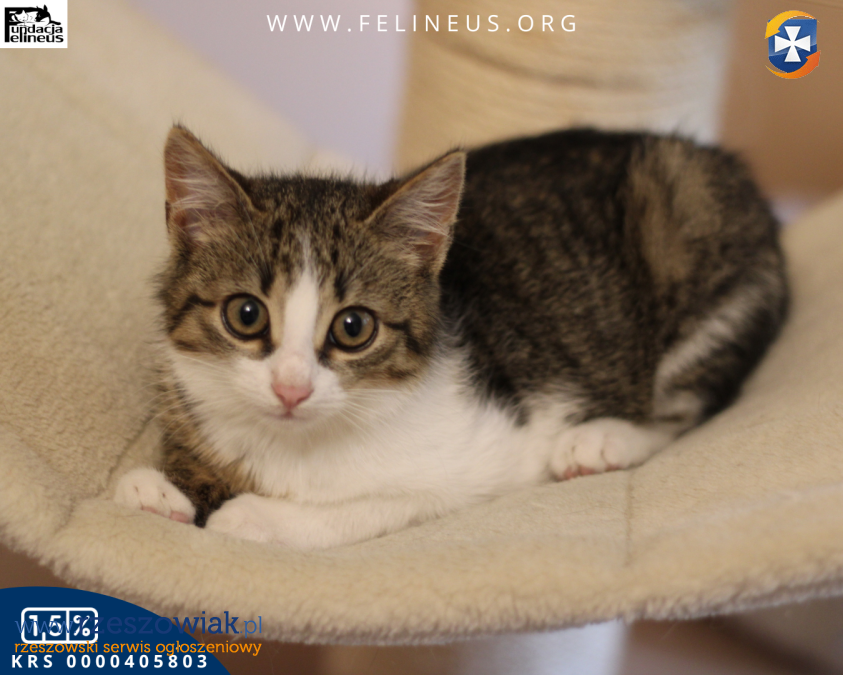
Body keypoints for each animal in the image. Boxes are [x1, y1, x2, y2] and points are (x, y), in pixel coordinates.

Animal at [114, 125, 788, 550]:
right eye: (246, 315)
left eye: (353, 327)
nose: (291, 388)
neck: (293, 447)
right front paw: (159, 489)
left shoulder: (492, 453)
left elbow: (388, 503)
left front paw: (255, 517)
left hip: (689, 225)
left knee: (689, 408)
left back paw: (603, 440)